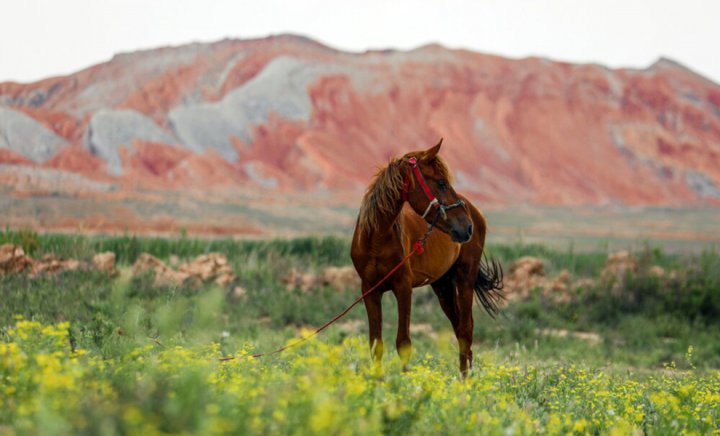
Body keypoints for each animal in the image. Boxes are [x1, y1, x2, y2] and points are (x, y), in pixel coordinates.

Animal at [352, 139, 504, 374]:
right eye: (441, 183)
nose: (466, 227)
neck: (376, 239)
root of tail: (476, 212)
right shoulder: (370, 290)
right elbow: (376, 344)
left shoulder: (403, 287)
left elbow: (403, 342)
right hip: (443, 285)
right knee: (459, 328)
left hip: (465, 278)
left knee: (466, 330)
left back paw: (466, 380)